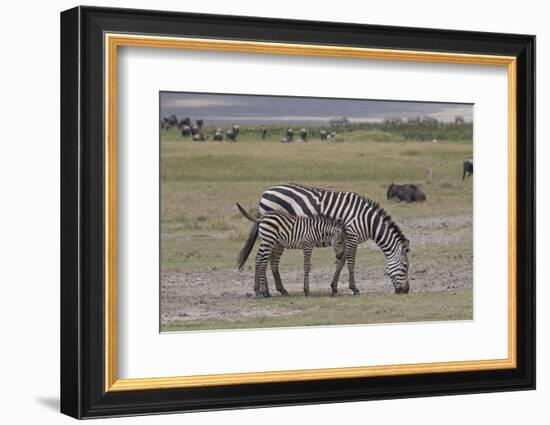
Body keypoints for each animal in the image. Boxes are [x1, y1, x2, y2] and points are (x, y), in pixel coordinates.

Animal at [239, 182, 412, 294]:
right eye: (405, 266)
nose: (406, 291)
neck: (366, 220)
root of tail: (266, 192)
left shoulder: (345, 239)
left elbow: (341, 261)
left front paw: (334, 287)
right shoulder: (352, 235)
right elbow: (350, 262)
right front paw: (354, 288)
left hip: (277, 236)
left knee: (269, 258)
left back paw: (277, 289)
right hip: (273, 233)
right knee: (265, 258)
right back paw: (264, 290)